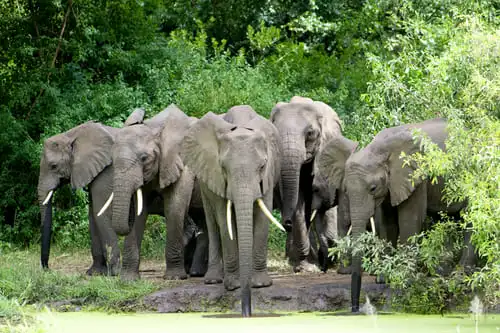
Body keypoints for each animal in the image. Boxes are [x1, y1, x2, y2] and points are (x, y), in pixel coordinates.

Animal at [95, 104, 207, 280]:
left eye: (144, 158)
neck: (156, 128)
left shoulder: (183, 164)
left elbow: (174, 208)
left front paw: (174, 277)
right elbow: (140, 211)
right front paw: (128, 279)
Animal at [183, 106, 286, 316]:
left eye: (262, 166)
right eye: (223, 167)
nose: (247, 313)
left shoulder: (268, 177)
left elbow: (262, 219)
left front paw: (260, 284)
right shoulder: (217, 177)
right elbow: (225, 221)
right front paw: (233, 285)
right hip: (203, 183)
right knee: (212, 225)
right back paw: (214, 279)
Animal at [316, 117, 472, 312]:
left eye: (373, 188)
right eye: (345, 190)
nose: (355, 309)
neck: (377, 150)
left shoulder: (414, 175)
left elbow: (409, 220)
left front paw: (404, 278)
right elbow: (387, 223)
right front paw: (383, 278)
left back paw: (461, 275)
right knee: (446, 220)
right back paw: (442, 273)